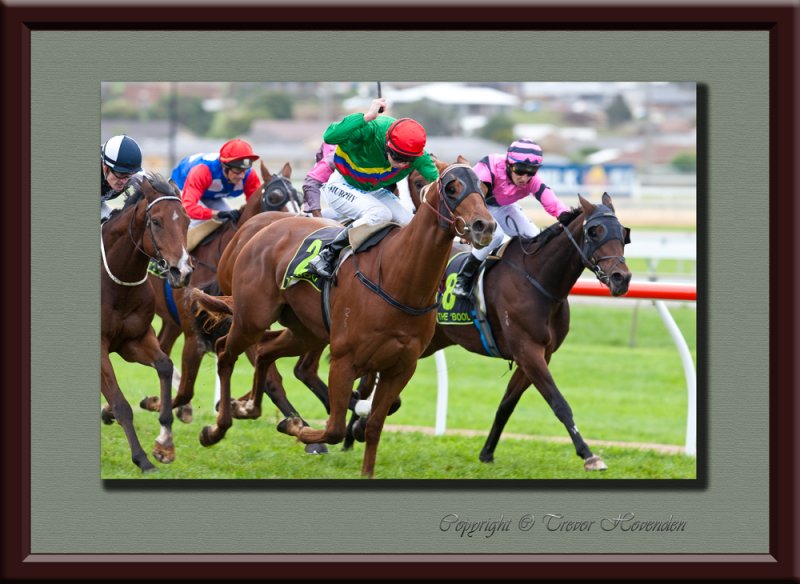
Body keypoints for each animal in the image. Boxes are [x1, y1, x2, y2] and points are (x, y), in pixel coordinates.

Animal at [100, 171, 194, 472]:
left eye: (187, 221)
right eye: (156, 222)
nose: (182, 271)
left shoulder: (134, 340)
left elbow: (165, 365)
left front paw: (165, 444)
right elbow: (121, 404)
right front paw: (142, 459)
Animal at [138, 162, 304, 422]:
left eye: (299, 196)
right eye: (275, 197)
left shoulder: (248, 325)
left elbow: (272, 378)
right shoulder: (200, 332)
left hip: (171, 321)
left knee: (162, 347)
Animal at [190, 159, 496, 474]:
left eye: (484, 188)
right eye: (451, 188)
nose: (484, 226)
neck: (397, 278)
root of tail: (257, 231)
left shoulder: (401, 366)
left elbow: (374, 427)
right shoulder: (344, 360)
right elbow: (334, 428)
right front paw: (299, 430)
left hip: (305, 332)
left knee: (264, 351)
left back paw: (248, 407)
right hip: (252, 318)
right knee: (226, 352)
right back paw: (216, 429)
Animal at [348, 189, 632, 472]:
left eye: (623, 233)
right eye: (594, 232)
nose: (622, 278)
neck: (538, 279)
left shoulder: (538, 355)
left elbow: (507, 405)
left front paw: (487, 452)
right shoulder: (528, 351)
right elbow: (559, 403)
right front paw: (589, 455)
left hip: (426, 341)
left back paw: (354, 429)